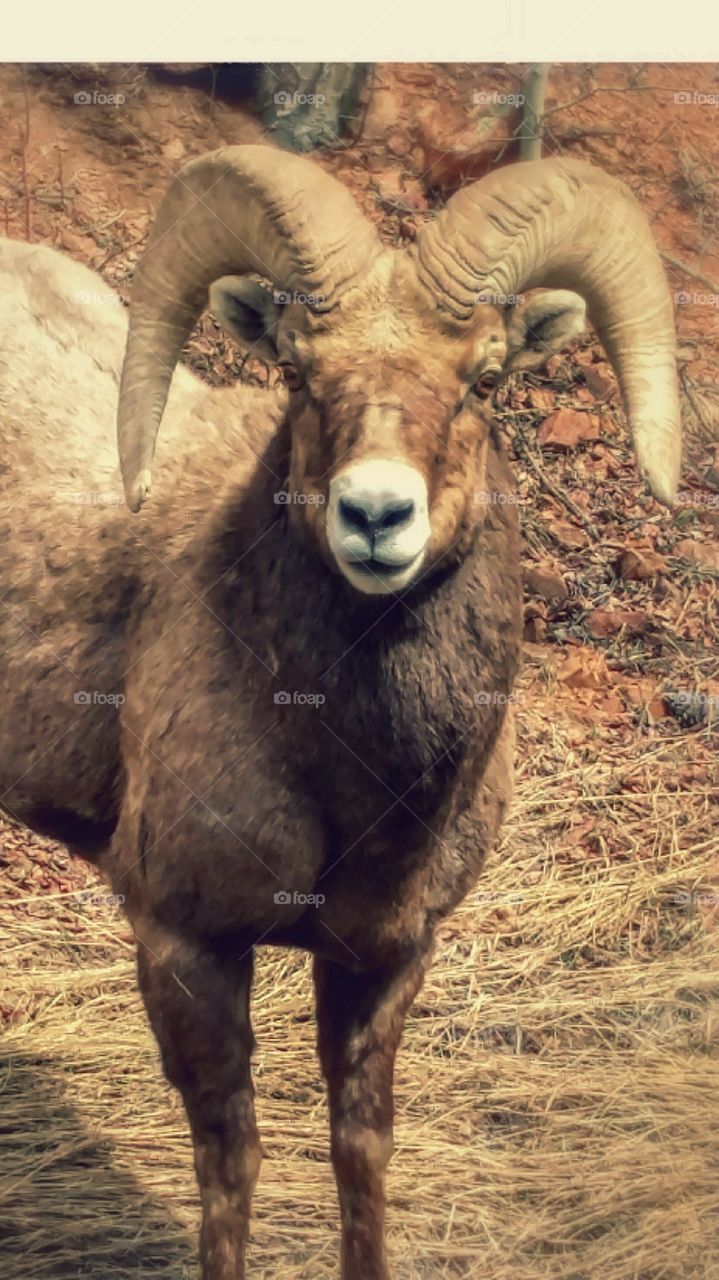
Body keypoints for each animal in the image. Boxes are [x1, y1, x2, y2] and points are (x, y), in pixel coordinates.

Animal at [0, 145, 681, 1280]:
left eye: (485, 379)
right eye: (299, 376)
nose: (374, 516)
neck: (349, 784)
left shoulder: (384, 958)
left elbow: (359, 1151)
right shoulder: (185, 947)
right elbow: (230, 1165)